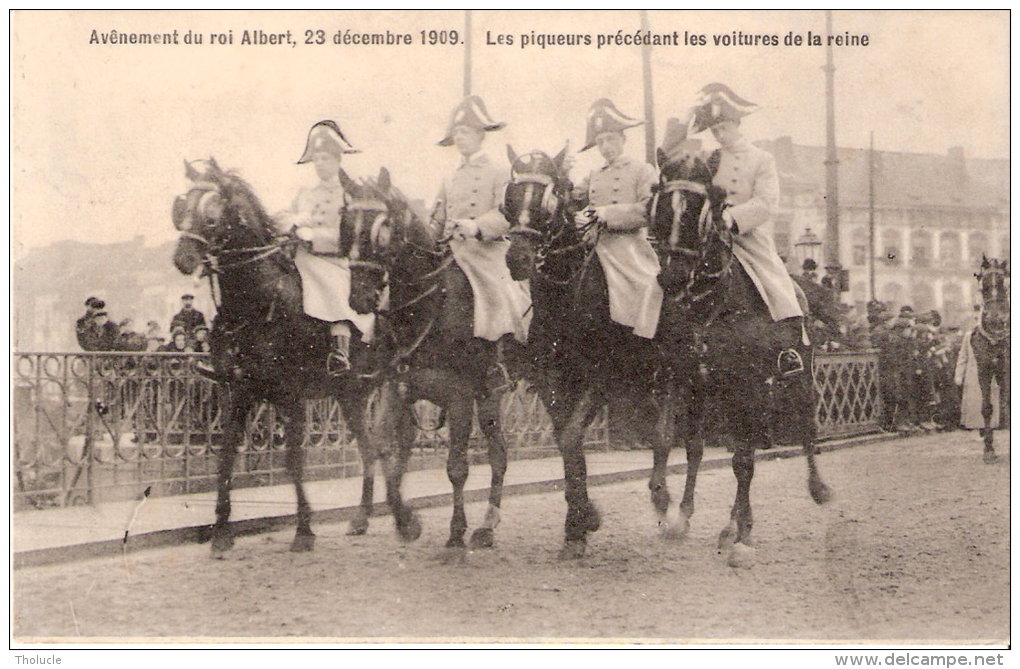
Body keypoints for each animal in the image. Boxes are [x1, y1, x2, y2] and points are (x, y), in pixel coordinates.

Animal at [171, 158, 418, 554]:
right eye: (183, 207)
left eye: (211, 214)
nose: (183, 258)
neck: (258, 302)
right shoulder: (238, 392)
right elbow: (226, 458)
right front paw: (221, 530)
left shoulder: (290, 396)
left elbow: (293, 462)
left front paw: (303, 529)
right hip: (352, 394)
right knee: (369, 449)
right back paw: (362, 518)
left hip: (397, 383)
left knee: (396, 443)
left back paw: (402, 514)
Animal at [342, 168, 518, 554]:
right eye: (345, 223)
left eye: (383, 228)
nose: (359, 297)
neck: (427, 304)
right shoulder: (396, 389)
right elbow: (384, 452)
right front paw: (407, 521)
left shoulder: (460, 397)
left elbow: (456, 467)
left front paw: (455, 531)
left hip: (492, 393)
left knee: (499, 454)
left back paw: (488, 525)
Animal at [501, 147, 669, 558]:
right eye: (510, 197)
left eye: (549, 199)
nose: (518, 258)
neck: (567, 295)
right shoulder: (550, 379)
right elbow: (567, 442)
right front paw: (578, 523)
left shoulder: (600, 378)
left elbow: (571, 437)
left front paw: (583, 519)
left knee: (665, 431)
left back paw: (665, 503)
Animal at [648, 144, 832, 562]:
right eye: (661, 203)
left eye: (704, 206)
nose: (673, 278)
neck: (711, 305)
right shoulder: (682, 379)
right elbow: (675, 441)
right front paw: (670, 508)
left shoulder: (745, 387)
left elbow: (744, 462)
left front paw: (745, 534)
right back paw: (723, 523)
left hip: (795, 382)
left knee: (805, 431)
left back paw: (816, 489)